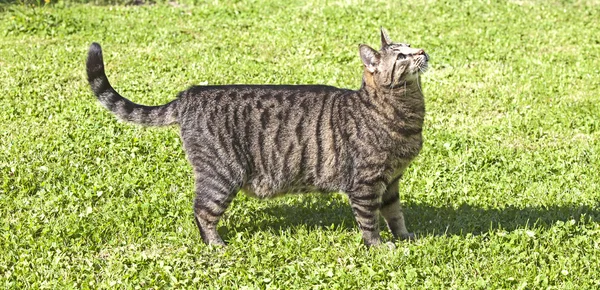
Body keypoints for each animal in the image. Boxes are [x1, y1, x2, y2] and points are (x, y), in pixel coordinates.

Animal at [86, 27, 428, 247]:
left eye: (413, 46)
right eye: (401, 57)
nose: (423, 51)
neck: (404, 112)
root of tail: (190, 94)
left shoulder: (392, 180)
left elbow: (395, 213)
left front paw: (405, 237)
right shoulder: (365, 183)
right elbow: (370, 221)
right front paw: (379, 246)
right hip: (222, 175)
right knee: (202, 212)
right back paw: (216, 245)